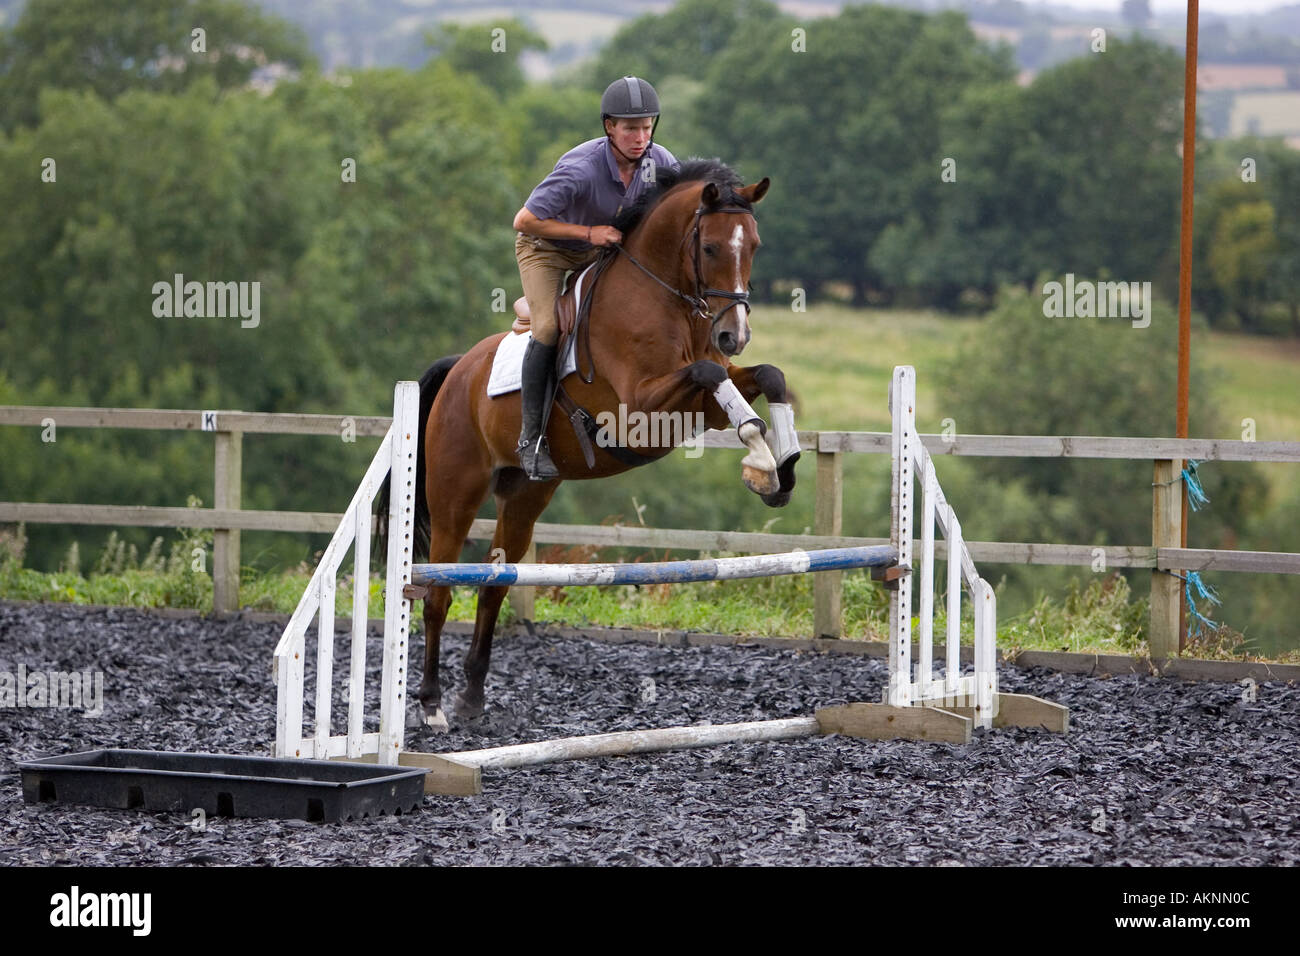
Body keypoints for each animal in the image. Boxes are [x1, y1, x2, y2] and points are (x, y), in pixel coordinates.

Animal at [386, 158, 803, 731]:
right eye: (713, 247)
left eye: (755, 245)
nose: (733, 335)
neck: (663, 297)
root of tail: (458, 371)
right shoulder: (641, 408)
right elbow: (710, 371)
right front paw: (761, 463)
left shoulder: (703, 405)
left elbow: (765, 376)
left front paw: (781, 469)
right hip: (455, 497)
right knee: (437, 593)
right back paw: (430, 705)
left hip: (525, 496)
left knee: (494, 584)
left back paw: (470, 696)